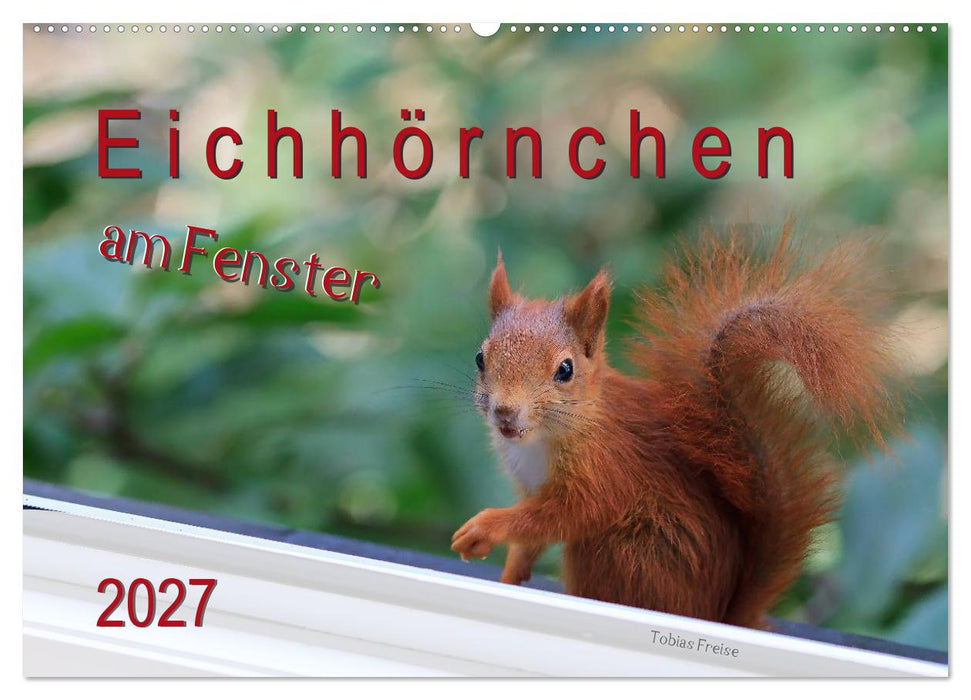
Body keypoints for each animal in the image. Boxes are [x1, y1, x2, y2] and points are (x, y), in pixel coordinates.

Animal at [450, 227, 904, 629]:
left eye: (565, 369)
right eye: (480, 358)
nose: (505, 413)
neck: (542, 440)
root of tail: (717, 614)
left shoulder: (608, 465)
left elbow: (570, 512)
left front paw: (486, 526)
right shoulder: (530, 483)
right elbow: (532, 535)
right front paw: (510, 572)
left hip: (625, 552)